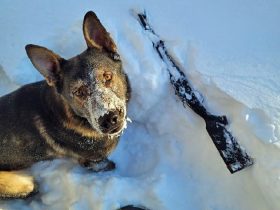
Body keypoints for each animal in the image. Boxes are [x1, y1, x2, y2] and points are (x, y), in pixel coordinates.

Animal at [0, 11, 131, 199]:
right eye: (78, 92)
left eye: (107, 76)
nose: (109, 118)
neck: (76, 116)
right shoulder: (91, 160)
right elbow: (101, 164)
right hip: (21, 184)